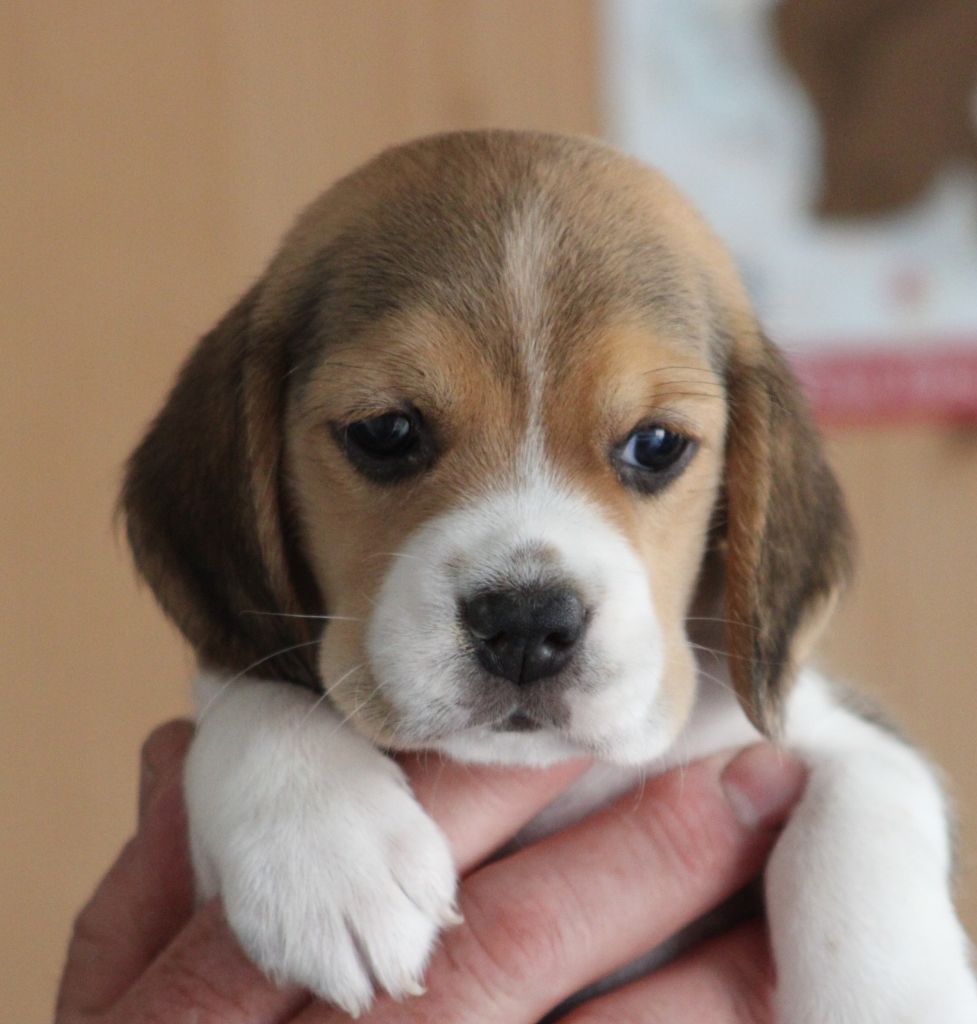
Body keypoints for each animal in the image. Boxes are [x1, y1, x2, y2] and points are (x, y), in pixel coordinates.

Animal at [123, 132, 974, 1019]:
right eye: (385, 431)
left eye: (656, 445)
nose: (526, 624)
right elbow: (252, 686)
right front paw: (326, 851)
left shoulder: (816, 732)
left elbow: (864, 803)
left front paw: (892, 997)